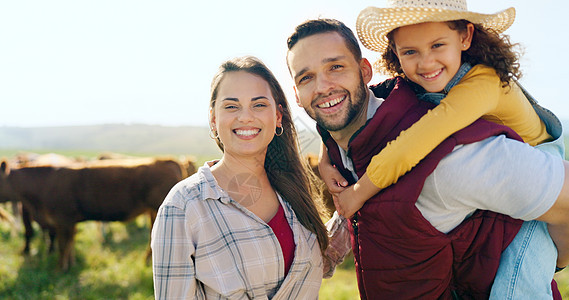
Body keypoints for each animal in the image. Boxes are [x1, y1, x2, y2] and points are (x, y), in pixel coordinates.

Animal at [0, 158, 183, 270]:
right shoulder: (68, 222)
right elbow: (70, 245)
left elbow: (62, 246)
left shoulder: (63, 220)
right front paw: (71, 266)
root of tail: (164, 160)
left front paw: (60, 270)